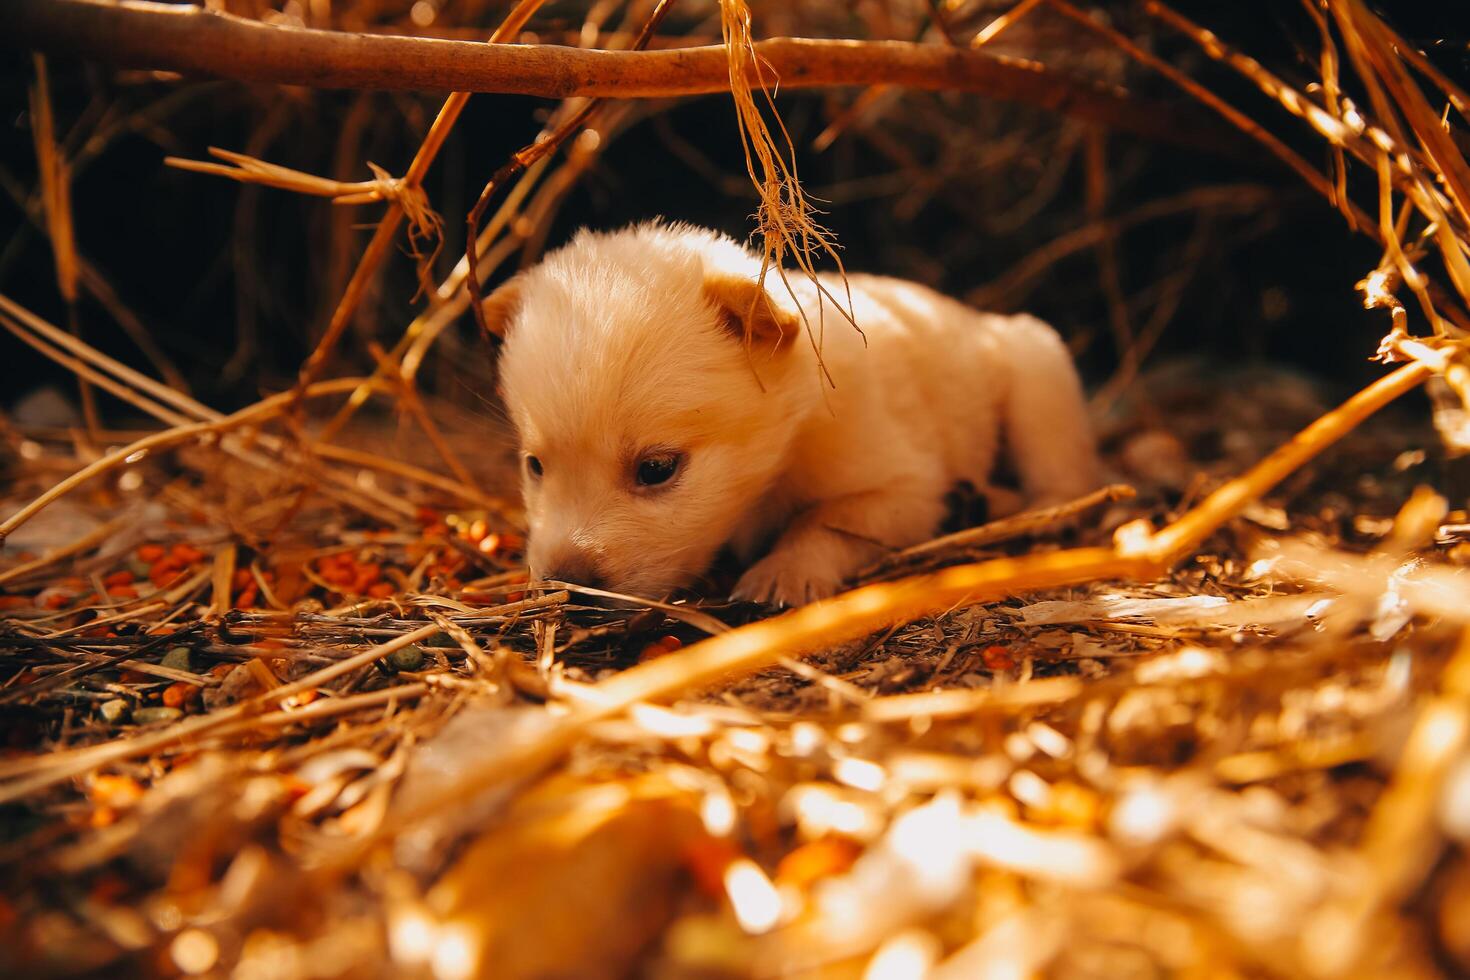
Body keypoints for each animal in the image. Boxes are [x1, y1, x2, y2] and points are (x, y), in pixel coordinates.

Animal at [488, 221, 1099, 605]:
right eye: (534, 466)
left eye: (657, 469)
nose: (565, 584)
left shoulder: (905, 485)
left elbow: (824, 519)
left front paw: (785, 573)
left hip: (1036, 366)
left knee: (1059, 466)